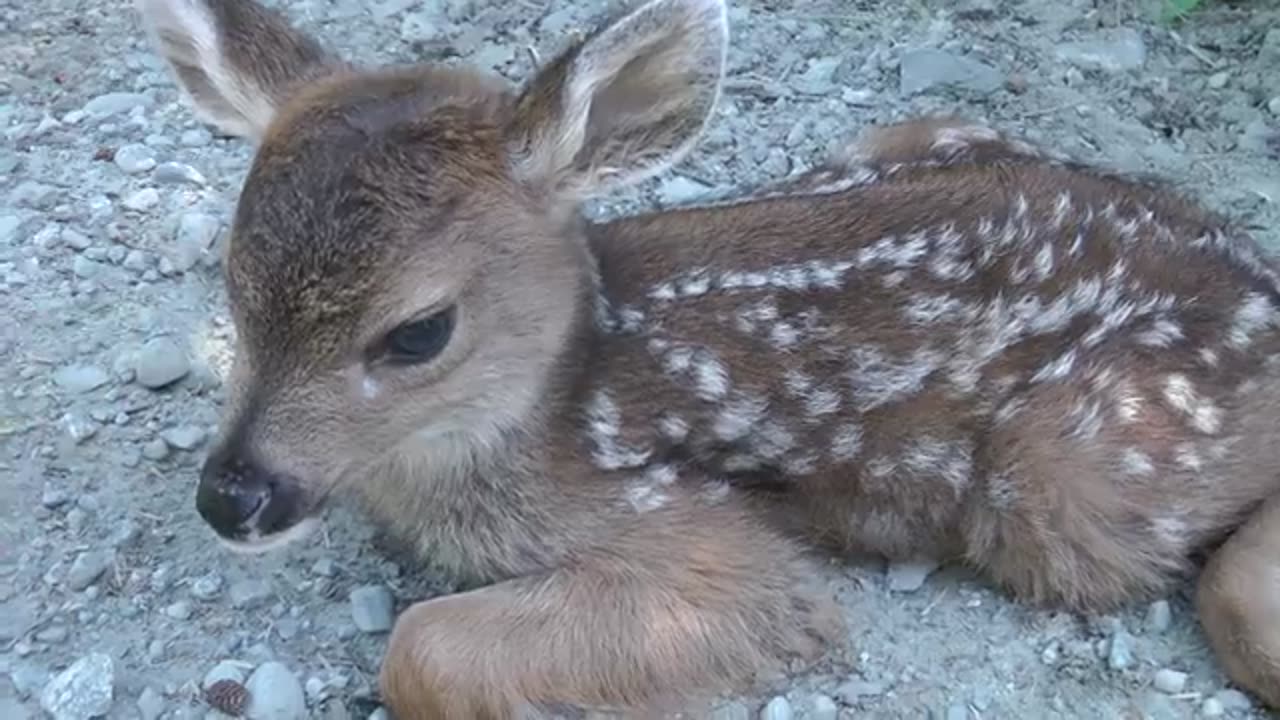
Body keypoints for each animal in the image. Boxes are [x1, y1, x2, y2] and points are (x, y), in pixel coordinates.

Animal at [135, 0, 1280, 712]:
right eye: (231, 284)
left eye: (418, 332)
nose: (233, 496)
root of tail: (1256, 279)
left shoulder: (701, 540)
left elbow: (418, 651)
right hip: (915, 132)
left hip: (1076, 475)